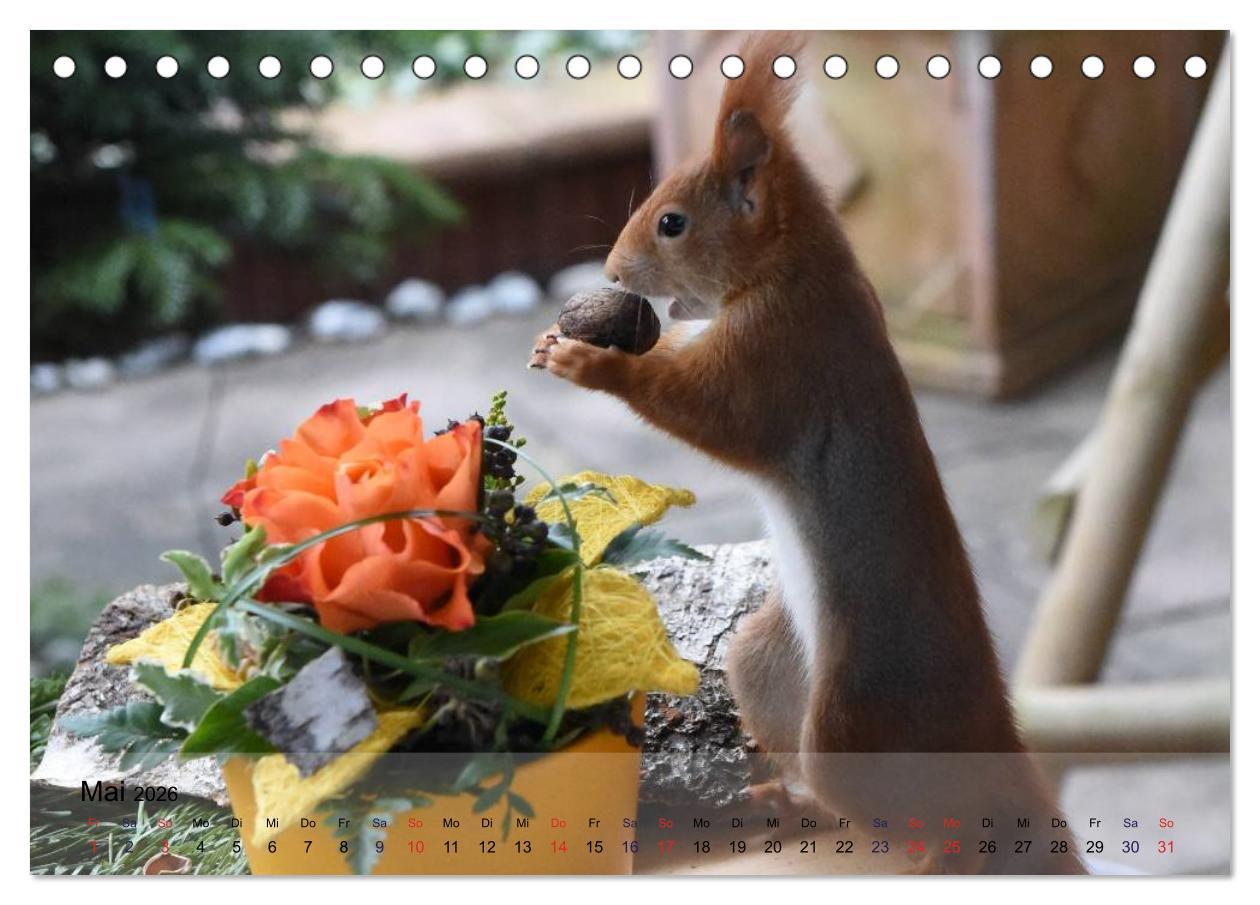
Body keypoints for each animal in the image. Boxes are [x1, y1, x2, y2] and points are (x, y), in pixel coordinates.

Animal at [530, 33, 1083, 875]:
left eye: (672, 222)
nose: (614, 275)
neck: (795, 266)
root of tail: (991, 729)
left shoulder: (779, 354)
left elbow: (710, 410)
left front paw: (592, 364)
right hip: (767, 659)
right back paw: (788, 801)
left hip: (857, 722)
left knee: (929, 813)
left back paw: (929, 851)